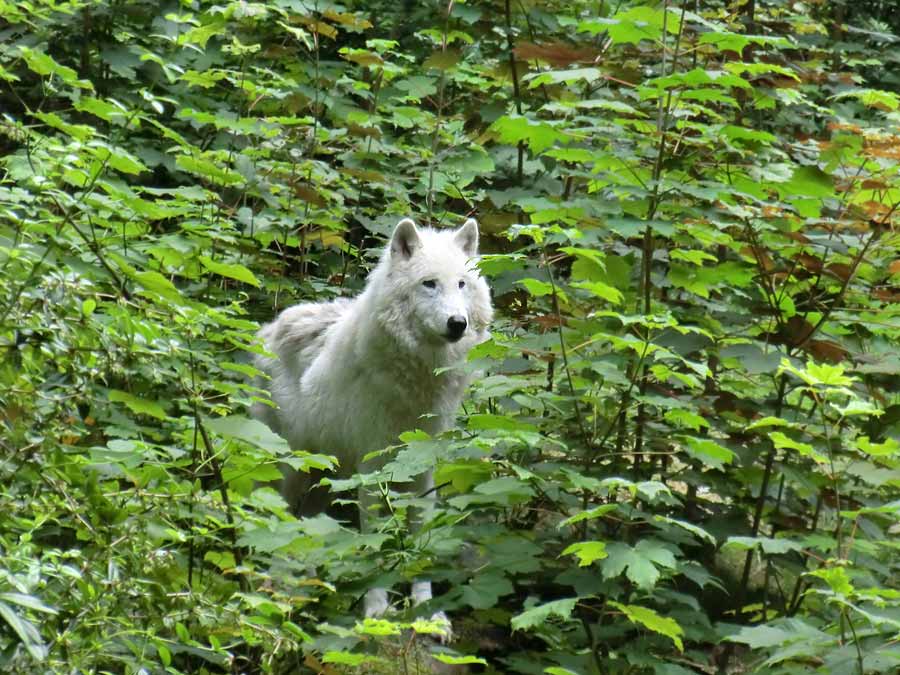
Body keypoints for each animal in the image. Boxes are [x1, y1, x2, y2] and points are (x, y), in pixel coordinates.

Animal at [251, 219, 492, 636]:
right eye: (429, 284)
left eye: (461, 284)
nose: (457, 324)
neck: (417, 384)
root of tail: (272, 324)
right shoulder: (372, 471)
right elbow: (375, 540)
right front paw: (377, 611)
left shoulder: (423, 473)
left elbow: (420, 540)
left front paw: (427, 614)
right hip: (290, 471)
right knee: (275, 517)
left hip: (322, 481)